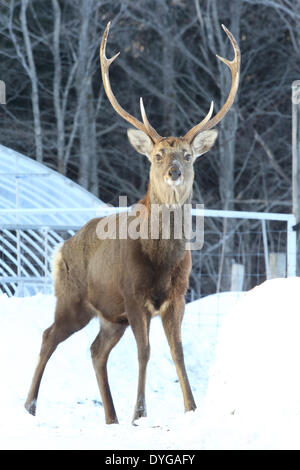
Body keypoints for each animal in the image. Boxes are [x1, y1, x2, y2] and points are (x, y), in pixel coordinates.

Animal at [24, 22, 240, 426]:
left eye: (188, 155)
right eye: (157, 155)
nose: (174, 171)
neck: (160, 258)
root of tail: (61, 248)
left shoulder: (176, 297)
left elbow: (177, 352)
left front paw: (190, 408)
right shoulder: (133, 293)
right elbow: (146, 351)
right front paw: (140, 412)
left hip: (111, 317)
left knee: (95, 350)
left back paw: (110, 417)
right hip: (73, 298)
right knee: (48, 336)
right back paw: (29, 406)